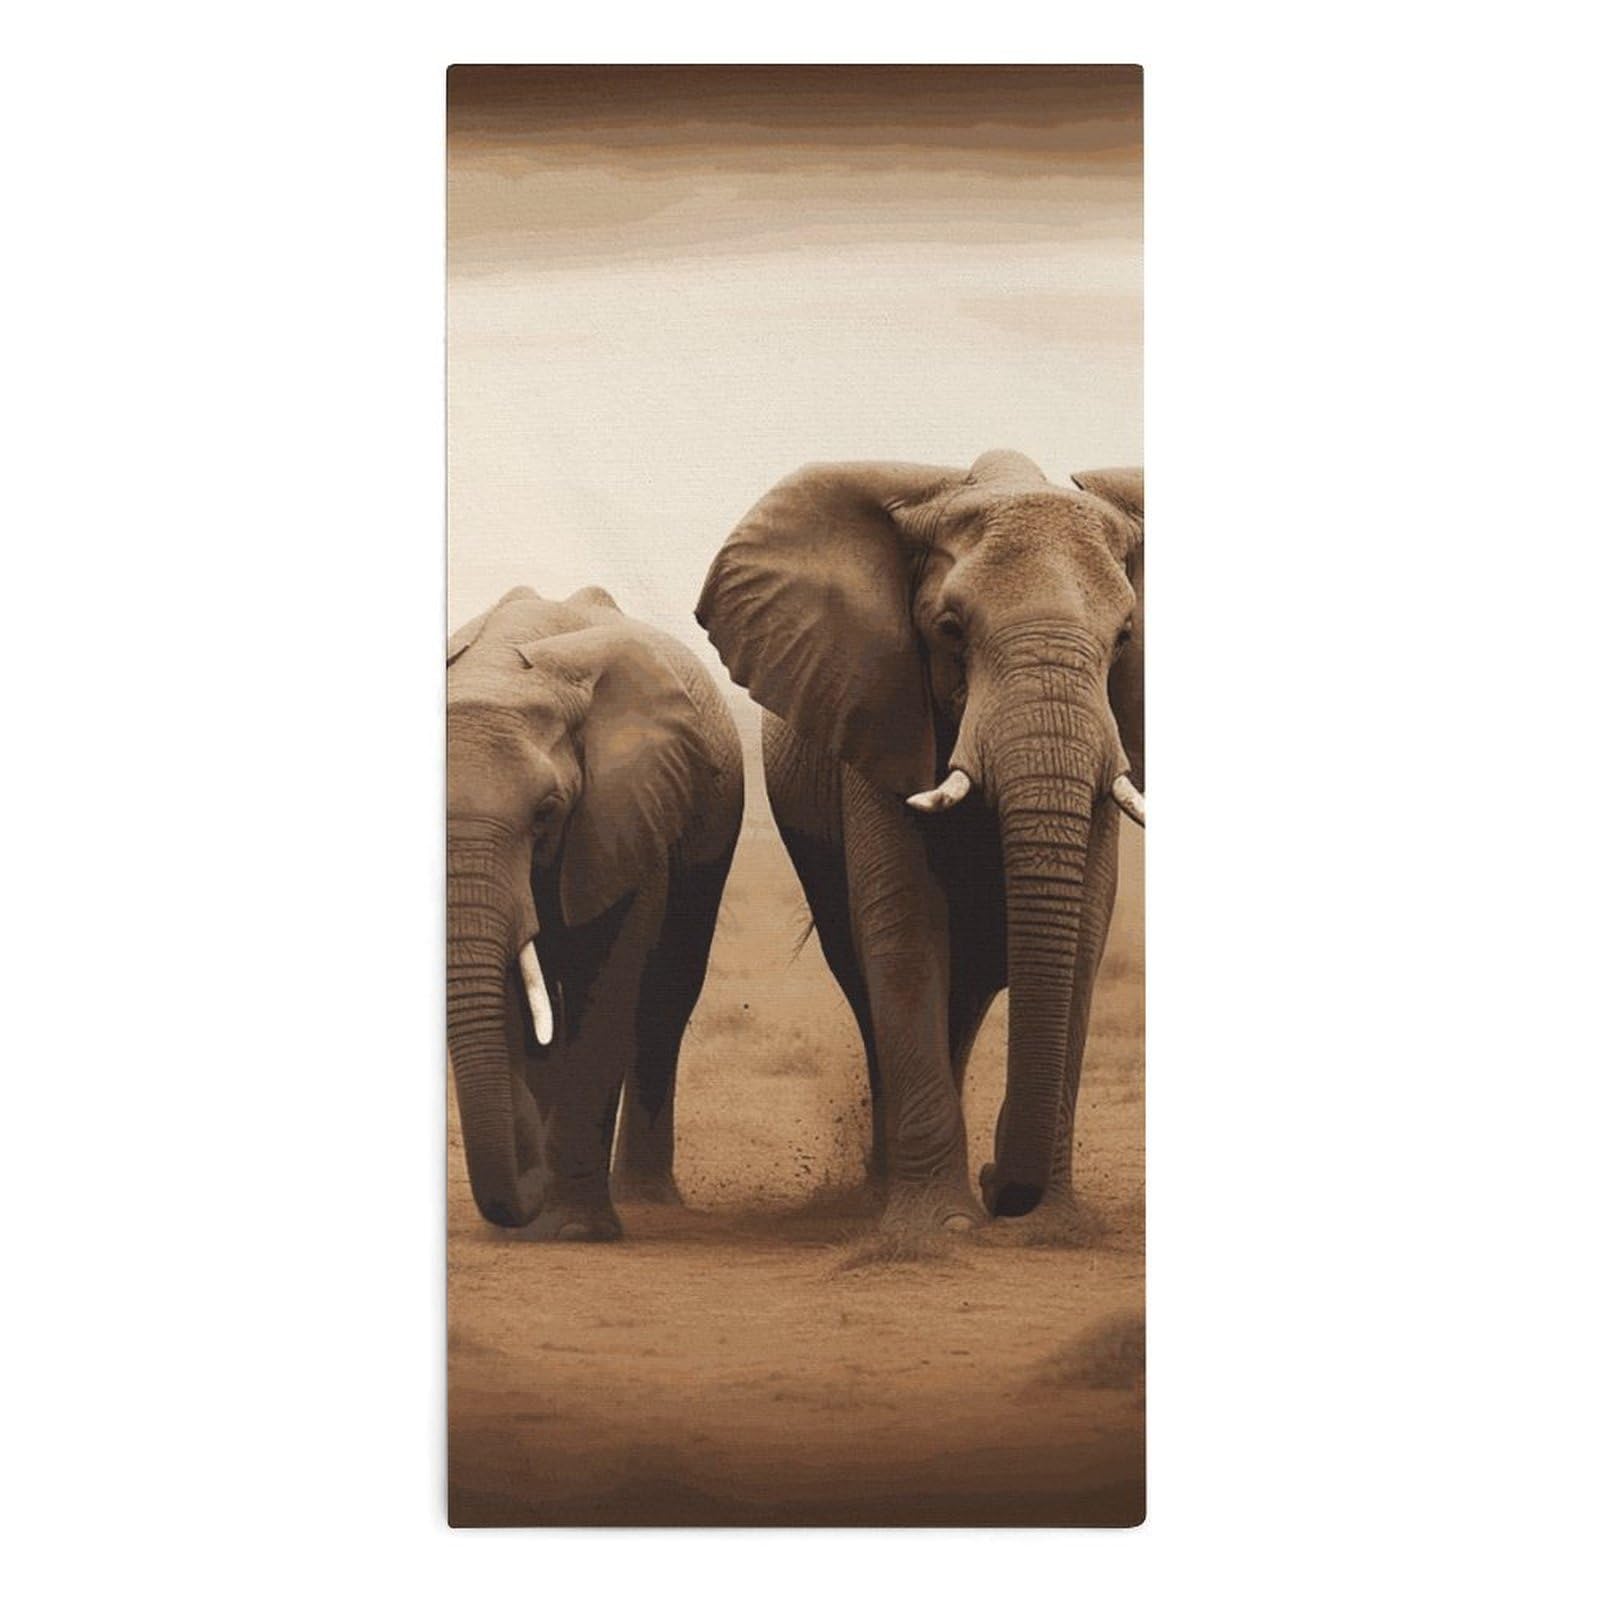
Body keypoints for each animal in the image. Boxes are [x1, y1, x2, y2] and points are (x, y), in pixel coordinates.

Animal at [446, 584, 744, 1239]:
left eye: (546, 812)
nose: (524, 1196)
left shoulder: (629, 811)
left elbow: (609, 987)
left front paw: (577, 1230)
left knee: (665, 998)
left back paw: (646, 1199)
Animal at [696, 450, 1143, 1233]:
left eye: (1123, 637)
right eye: (950, 628)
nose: (1001, 1189)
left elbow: (1087, 928)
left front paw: (1050, 1227)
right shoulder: (876, 706)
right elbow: (904, 924)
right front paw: (944, 1227)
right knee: (866, 973)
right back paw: (886, 1190)